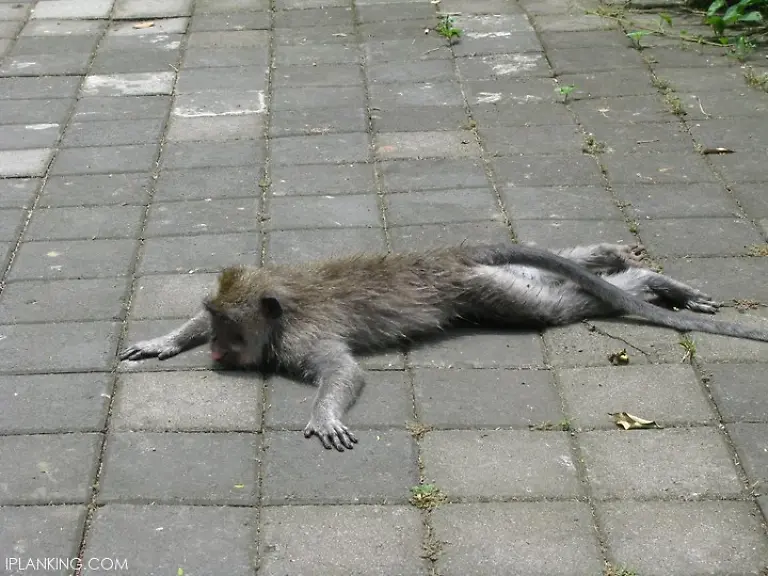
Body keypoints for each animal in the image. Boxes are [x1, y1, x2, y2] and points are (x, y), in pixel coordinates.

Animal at [120, 241, 768, 452]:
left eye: (230, 330)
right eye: (215, 323)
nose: (215, 350)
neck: (283, 308)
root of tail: (455, 256)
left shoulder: (304, 337)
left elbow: (343, 374)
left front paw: (324, 414)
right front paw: (164, 341)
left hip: (484, 290)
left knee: (555, 308)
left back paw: (649, 283)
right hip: (498, 280)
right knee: (567, 277)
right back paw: (612, 260)